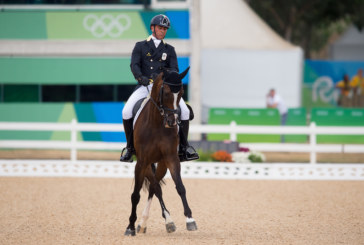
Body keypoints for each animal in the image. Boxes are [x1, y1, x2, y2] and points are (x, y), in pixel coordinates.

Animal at [124, 66, 199, 235]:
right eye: (165, 93)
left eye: (182, 93)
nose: (172, 122)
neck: (157, 124)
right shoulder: (141, 162)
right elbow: (135, 195)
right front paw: (130, 226)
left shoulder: (171, 158)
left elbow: (180, 187)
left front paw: (190, 220)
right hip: (146, 164)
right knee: (155, 187)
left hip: (162, 164)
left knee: (154, 187)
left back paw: (160, 222)